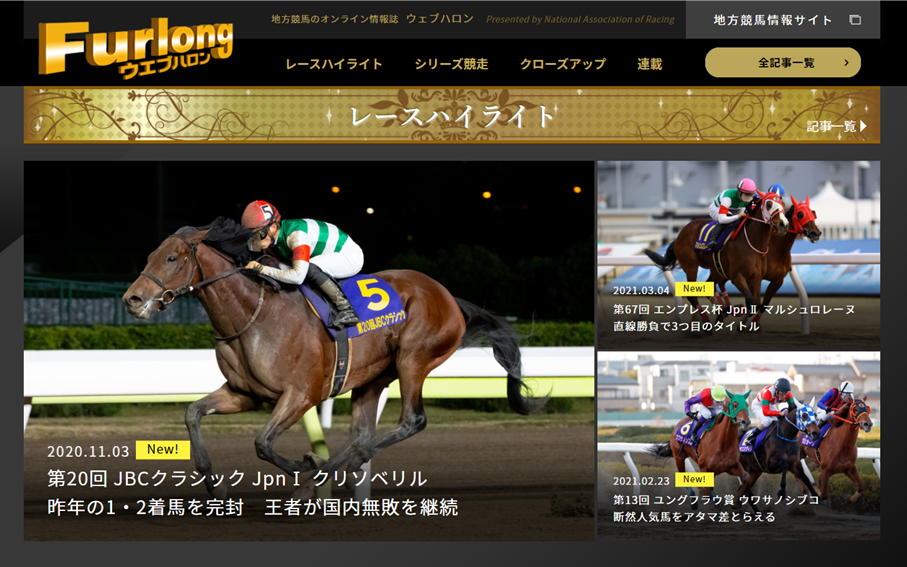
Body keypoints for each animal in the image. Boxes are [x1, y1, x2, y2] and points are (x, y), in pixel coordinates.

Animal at [121, 217, 547, 499]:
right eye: (152, 254)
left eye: (172, 258)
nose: (132, 299)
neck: (251, 316)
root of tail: (447, 296)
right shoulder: (246, 393)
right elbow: (192, 412)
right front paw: (212, 482)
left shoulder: (301, 394)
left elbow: (262, 443)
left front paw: (306, 467)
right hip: (374, 376)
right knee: (363, 433)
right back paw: (332, 476)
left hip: (414, 360)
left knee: (410, 422)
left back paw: (323, 475)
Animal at [644, 192, 789, 332]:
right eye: (769, 204)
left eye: (783, 203)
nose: (784, 224)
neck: (753, 243)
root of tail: (681, 232)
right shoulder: (737, 277)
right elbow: (750, 301)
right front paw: (732, 311)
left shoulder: (756, 278)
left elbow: (756, 304)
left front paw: (731, 313)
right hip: (691, 265)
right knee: (692, 294)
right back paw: (708, 321)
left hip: (717, 269)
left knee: (708, 286)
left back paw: (720, 312)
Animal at [711, 195, 821, 324]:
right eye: (800, 214)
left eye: (813, 213)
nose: (816, 233)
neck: (776, 249)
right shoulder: (755, 277)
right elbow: (754, 302)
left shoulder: (777, 280)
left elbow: (763, 304)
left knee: (719, 283)